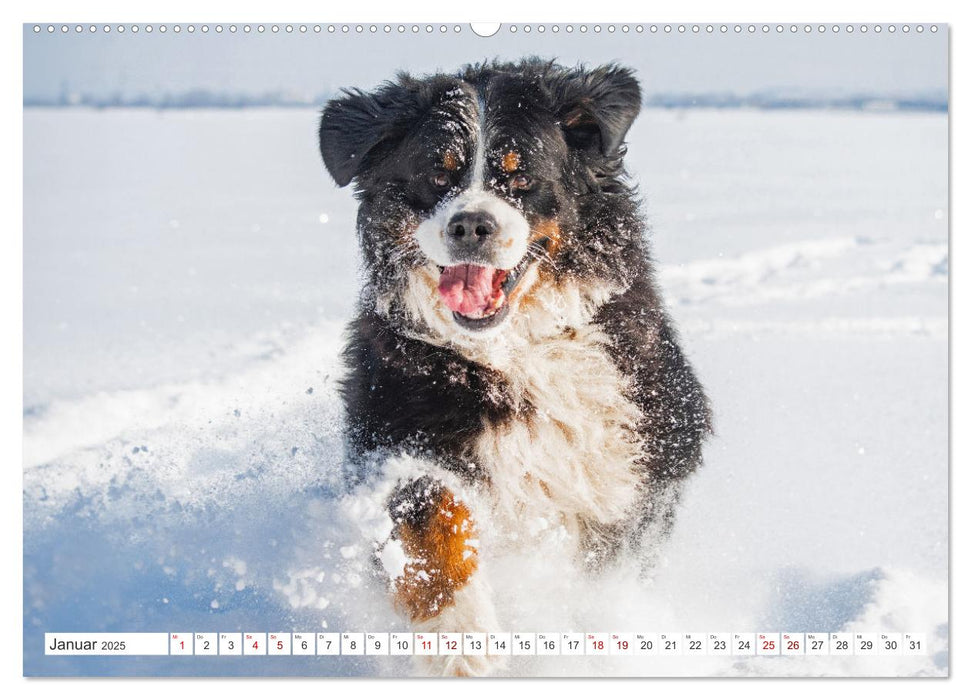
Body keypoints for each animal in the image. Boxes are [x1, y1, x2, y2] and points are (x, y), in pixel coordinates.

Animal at [322, 61, 712, 680]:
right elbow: (430, 515)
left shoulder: (642, 459)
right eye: (438, 173)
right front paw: (460, 636)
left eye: (521, 175)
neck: (516, 349)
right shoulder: (392, 427)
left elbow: (602, 577)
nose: (470, 226)